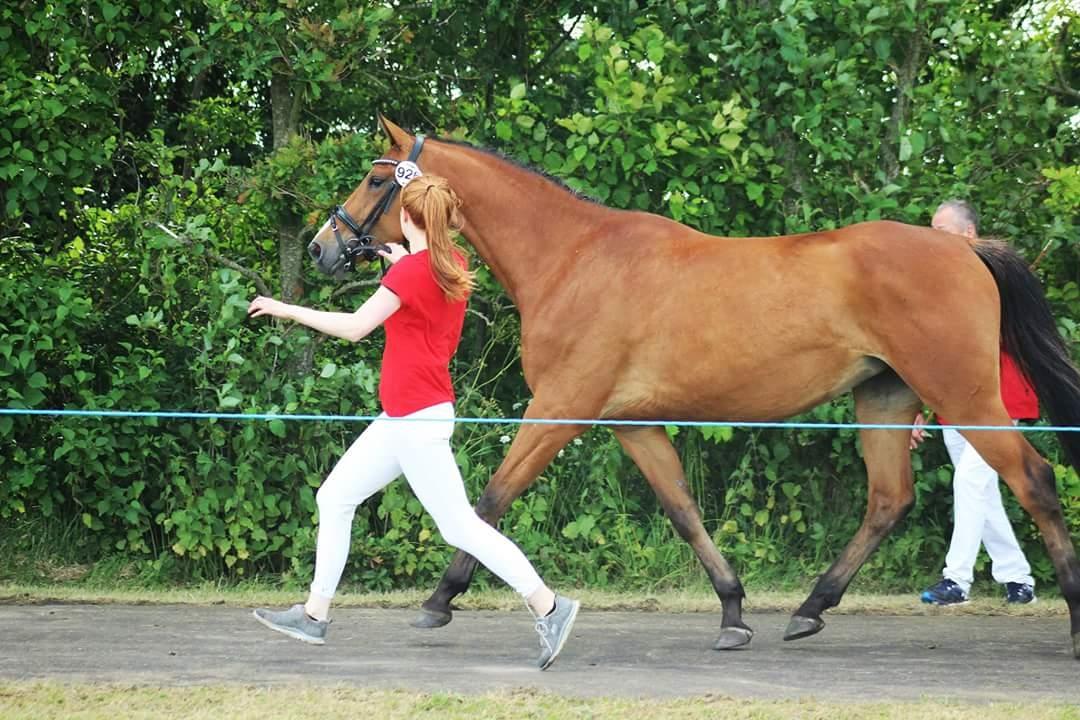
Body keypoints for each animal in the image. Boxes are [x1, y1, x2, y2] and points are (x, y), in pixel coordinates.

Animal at [304, 117, 1080, 660]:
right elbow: (683, 511)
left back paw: (1070, 614)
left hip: (966, 397)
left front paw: (440, 599)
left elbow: (490, 499)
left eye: (374, 178)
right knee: (890, 500)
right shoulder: (632, 423)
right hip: (885, 397)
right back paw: (809, 609)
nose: (322, 247)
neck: (573, 257)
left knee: (1035, 481)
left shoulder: (561, 408)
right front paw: (734, 612)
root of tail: (962, 248)